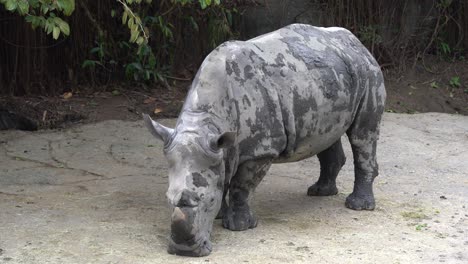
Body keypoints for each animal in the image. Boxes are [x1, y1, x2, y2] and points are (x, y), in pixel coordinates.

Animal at [143, 24, 384, 256]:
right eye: (167, 199)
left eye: (208, 201)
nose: (184, 251)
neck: (206, 121)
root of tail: (357, 43)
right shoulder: (219, 148)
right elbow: (223, 179)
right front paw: (220, 216)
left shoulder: (260, 150)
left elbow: (241, 186)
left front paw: (239, 226)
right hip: (329, 79)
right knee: (328, 135)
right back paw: (319, 192)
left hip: (369, 74)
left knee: (362, 135)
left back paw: (357, 206)